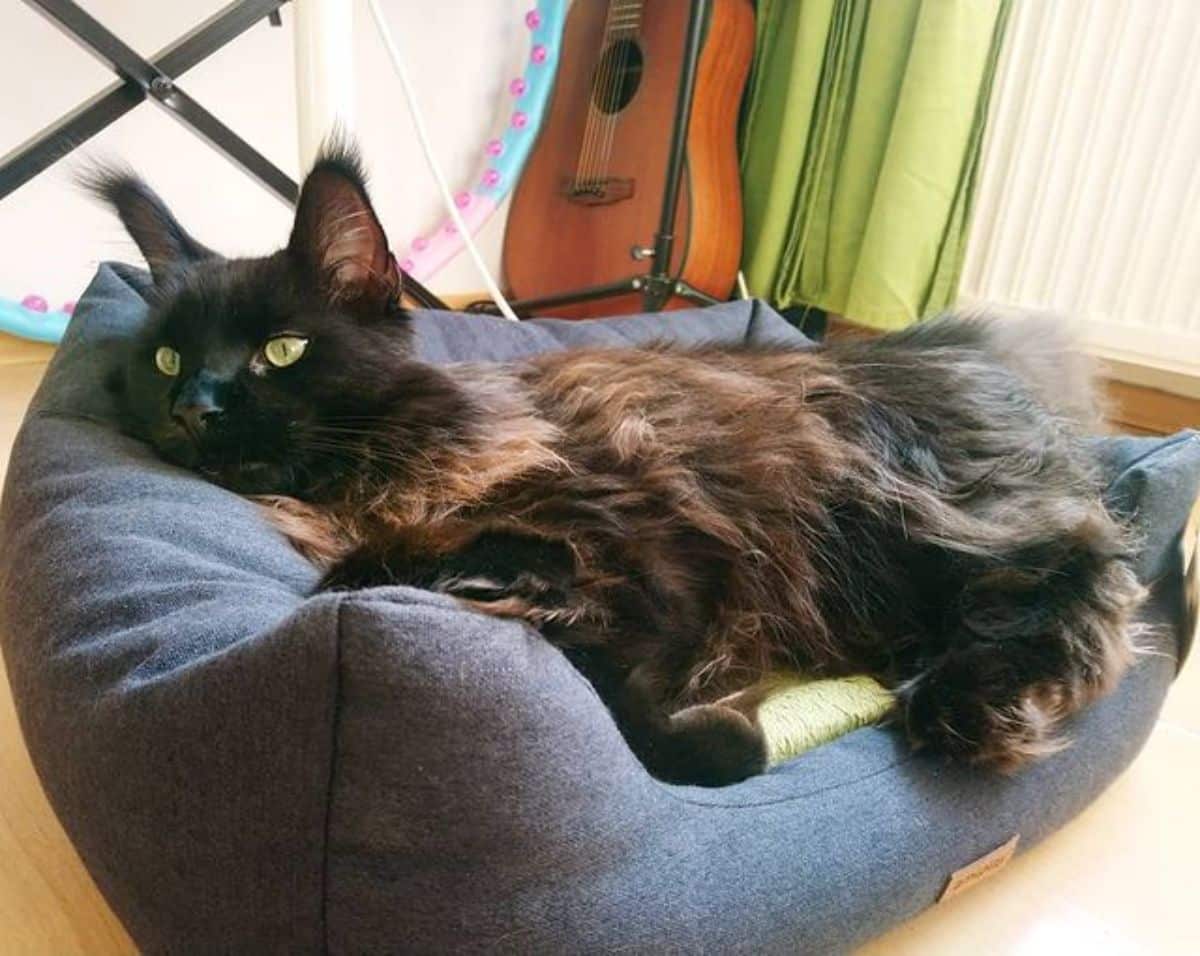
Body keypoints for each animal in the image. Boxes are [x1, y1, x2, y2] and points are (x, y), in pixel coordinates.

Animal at [91, 143, 1142, 782]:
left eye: (280, 351)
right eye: (168, 359)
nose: (193, 407)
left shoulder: (656, 545)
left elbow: (652, 717)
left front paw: (726, 729)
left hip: (895, 517)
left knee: (1086, 572)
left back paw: (972, 706)